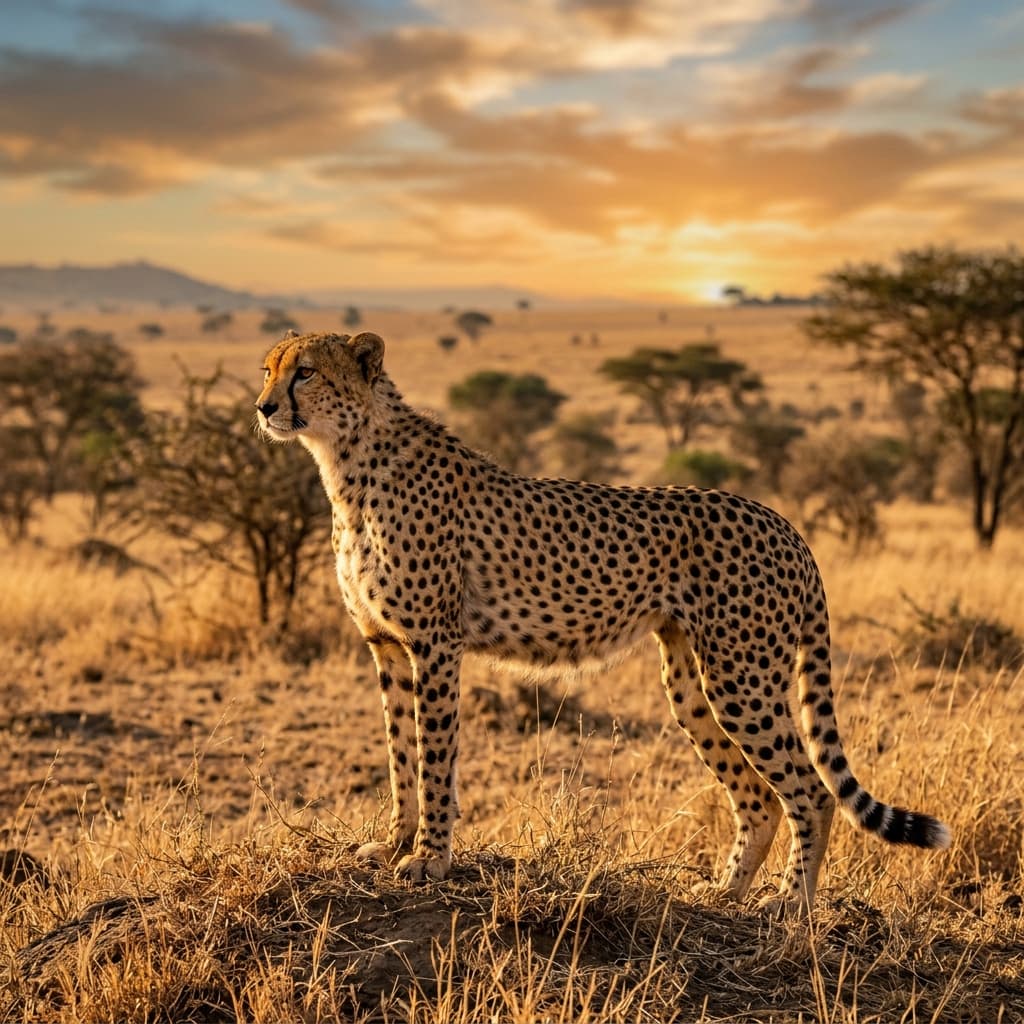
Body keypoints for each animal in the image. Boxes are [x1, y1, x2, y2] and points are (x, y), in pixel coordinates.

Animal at [255, 329, 950, 916]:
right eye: (268, 369)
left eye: (306, 372)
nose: (263, 408)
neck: (349, 461)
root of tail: (784, 523)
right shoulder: (388, 647)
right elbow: (402, 754)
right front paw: (397, 845)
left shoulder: (435, 645)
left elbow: (433, 758)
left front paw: (429, 859)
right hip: (692, 684)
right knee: (756, 795)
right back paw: (724, 893)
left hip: (742, 679)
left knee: (810, 789)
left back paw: (791, 905)